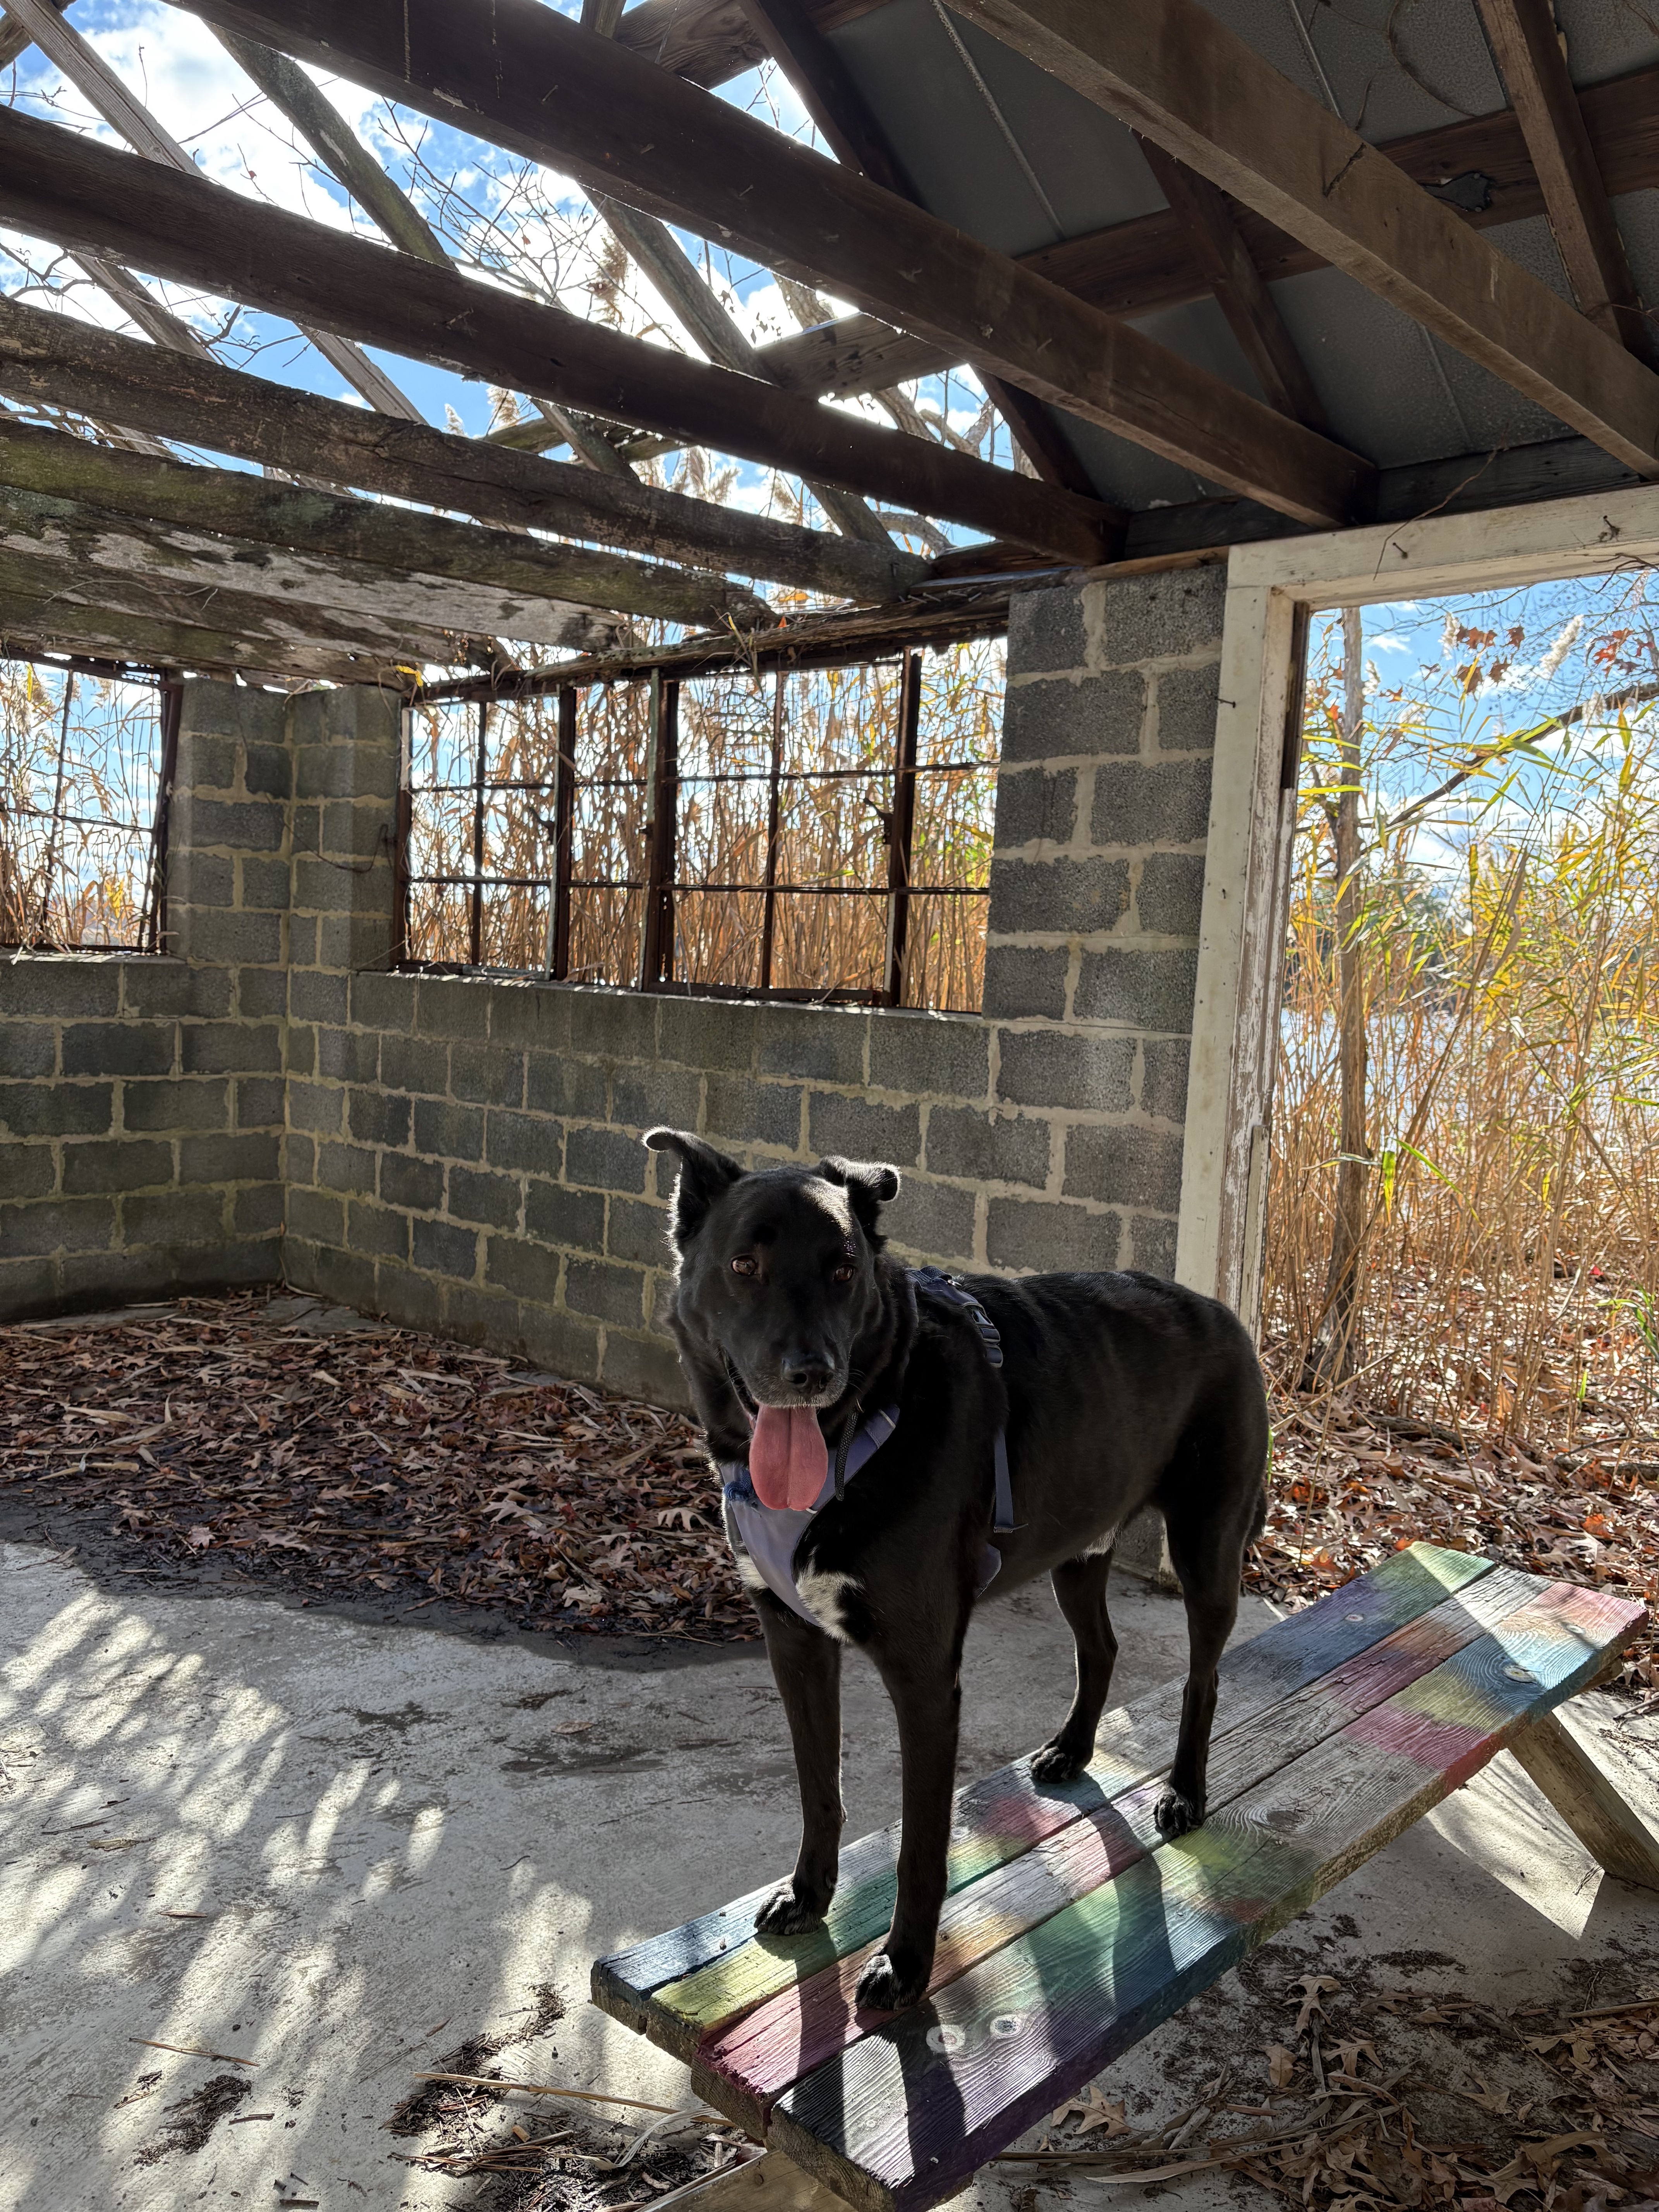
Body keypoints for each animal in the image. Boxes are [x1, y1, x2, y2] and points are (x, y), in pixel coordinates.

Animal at [641, 1132, 1265, 2017]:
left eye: (844, 1268)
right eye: (742, 1265)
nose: (810, 1372)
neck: (866, 1422)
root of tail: (1222, 1310)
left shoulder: (925, 1677)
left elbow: (922, 1846)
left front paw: (903, 1965)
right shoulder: (794, 1644)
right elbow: (819, 1788)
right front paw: (809, 1893)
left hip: (1207, 1548)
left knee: (1202, 1676)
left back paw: (1184, 1791)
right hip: (1078, 1552)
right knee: (1101, 1649)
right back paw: (1072, 1750)